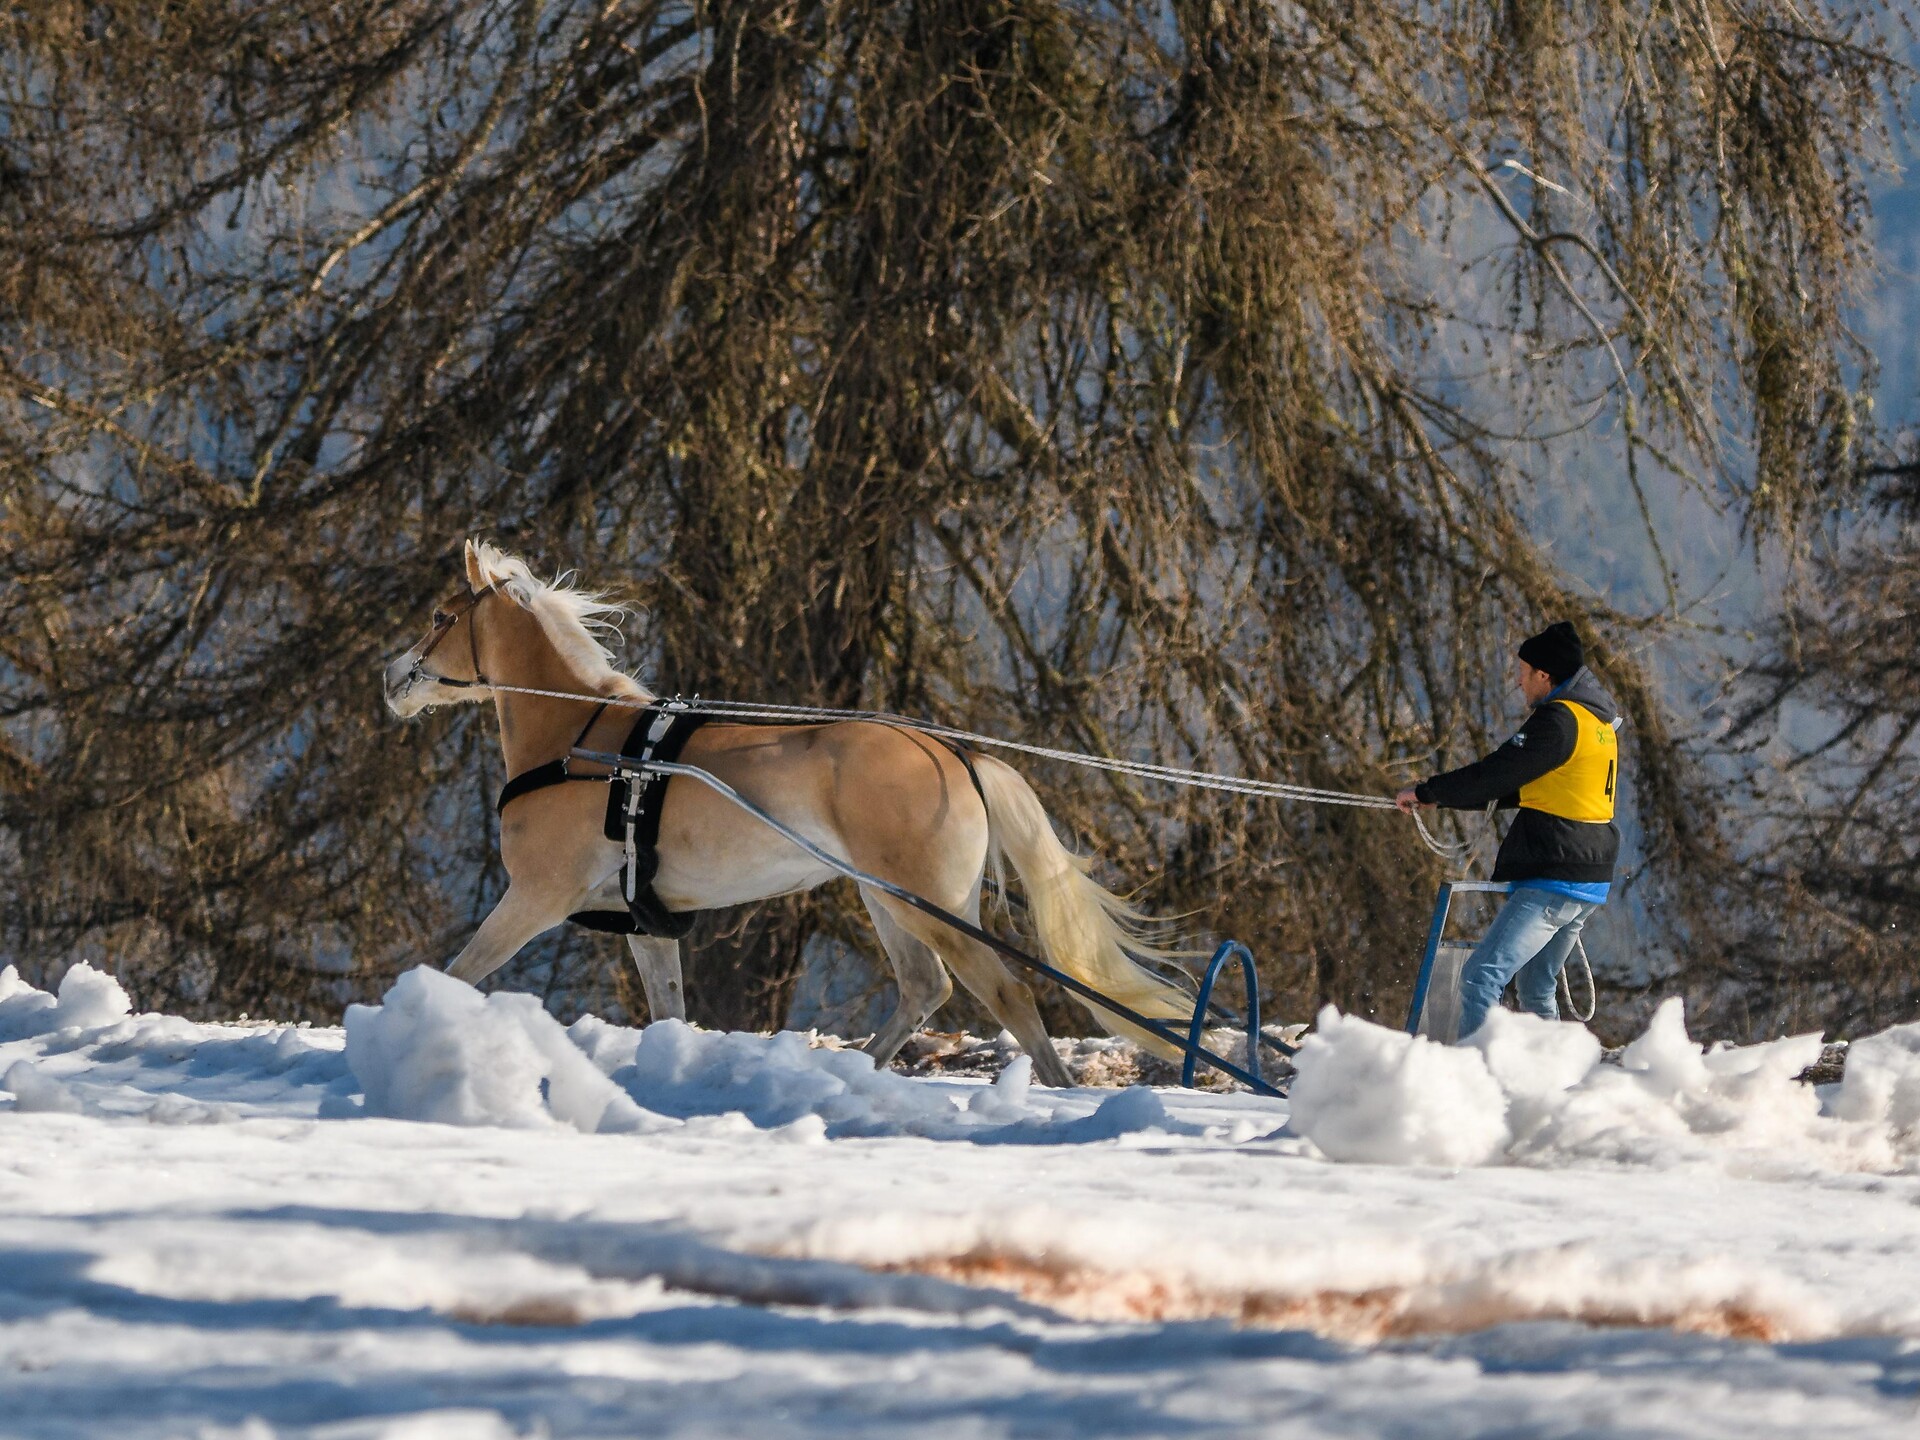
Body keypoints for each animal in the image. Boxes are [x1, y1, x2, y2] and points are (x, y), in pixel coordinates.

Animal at [382, 539, 1194, 1088]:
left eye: (441, 615)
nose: (391, 678)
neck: (583, 740)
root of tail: (953, 754)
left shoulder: (534, 898)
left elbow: (460, 971)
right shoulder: (645, 924)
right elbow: (668, 1007)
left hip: (928, 904)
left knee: (1009, 995)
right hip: (887, 899)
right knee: (924, 988)